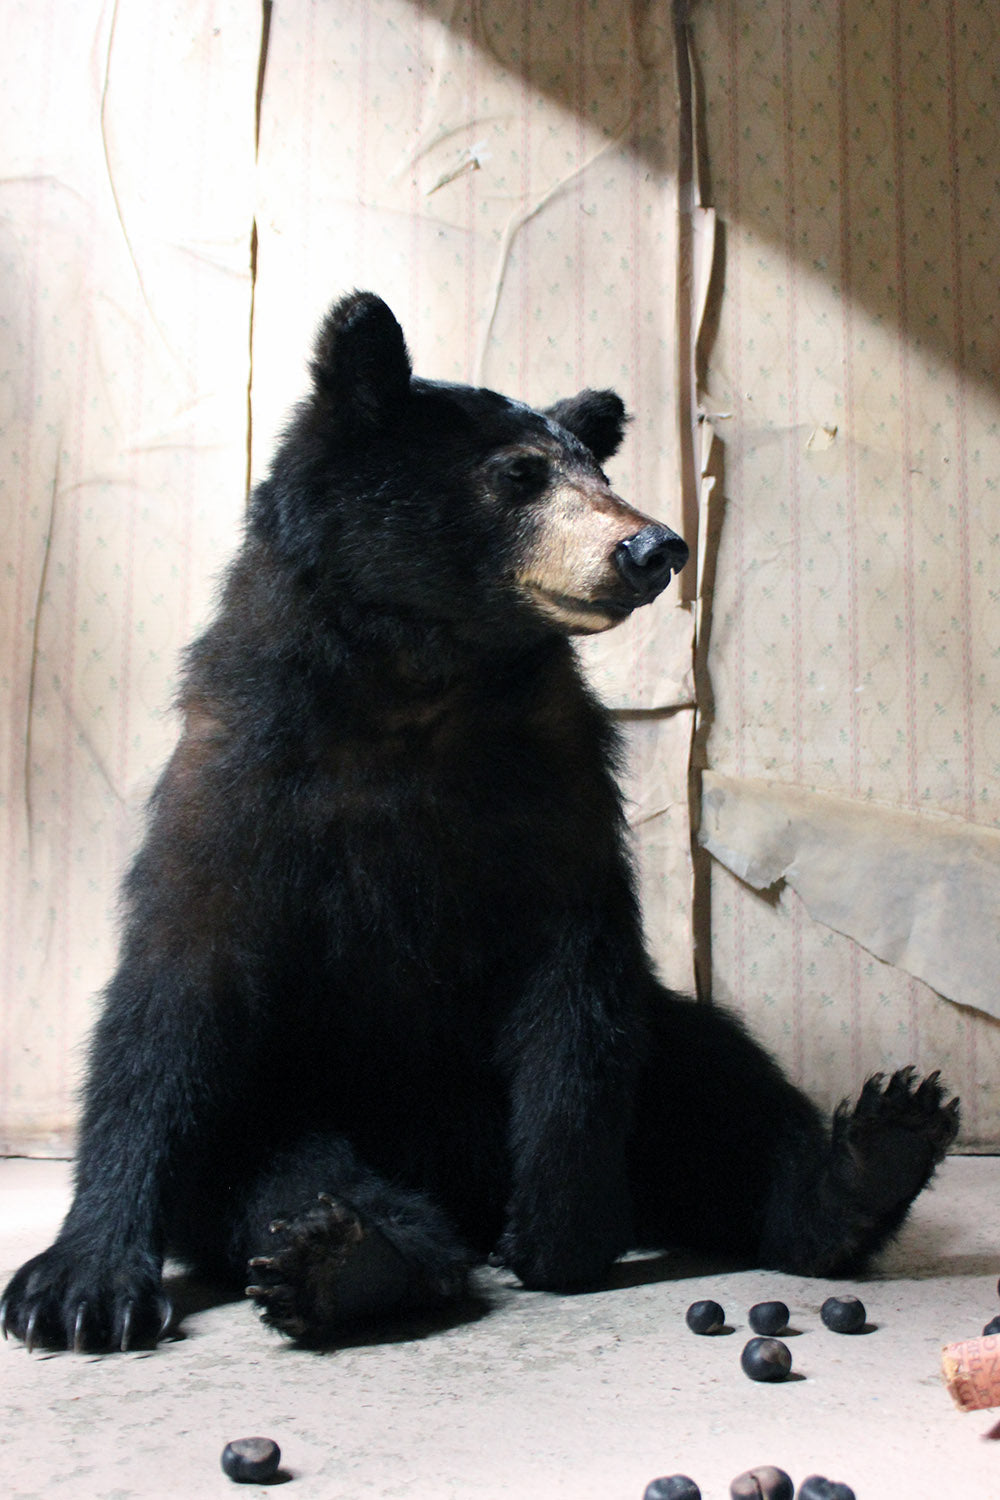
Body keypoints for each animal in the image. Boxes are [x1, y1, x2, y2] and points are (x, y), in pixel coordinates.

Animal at [2, 290, 958, 1354]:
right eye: (518, 474)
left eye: (599, 472)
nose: (654, 547)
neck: (420, 677)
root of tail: (458, 1182)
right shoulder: (241, 774)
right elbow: (171, 995)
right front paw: (80, 1285)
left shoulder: (557, 778)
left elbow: (576, 978)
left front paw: (563, 1228)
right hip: (298, 1085)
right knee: (271, 1161)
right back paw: (354, 1254)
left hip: (645, 1054)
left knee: (712, 1075)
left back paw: (865, 1164)